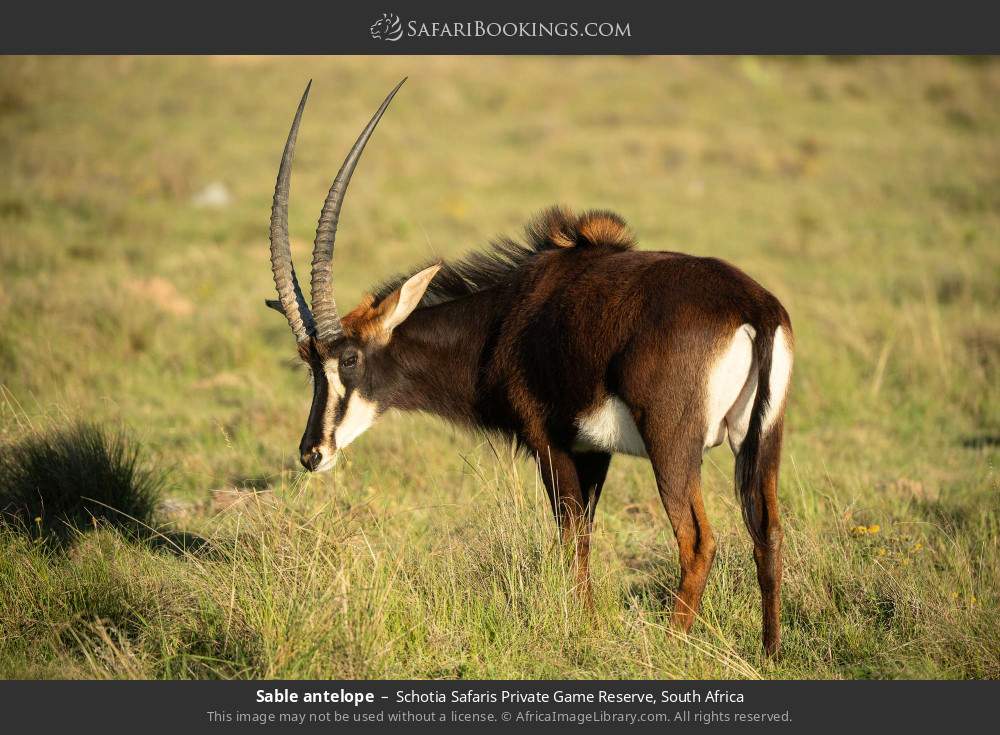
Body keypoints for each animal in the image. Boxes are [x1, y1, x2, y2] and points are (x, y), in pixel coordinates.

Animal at [265, 80, 794, 655]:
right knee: (767, 530)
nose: (312, 453)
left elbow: (570, 538)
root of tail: (754, 307)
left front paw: (583, 628)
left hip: (671, 443)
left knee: (698, 540)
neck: (505, 315)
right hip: (763, 439)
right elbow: (583, 536)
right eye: (308, 365)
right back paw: (769, 652)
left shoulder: (550, 442)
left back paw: (672, 645)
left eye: (349, 357)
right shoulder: (593, 451)